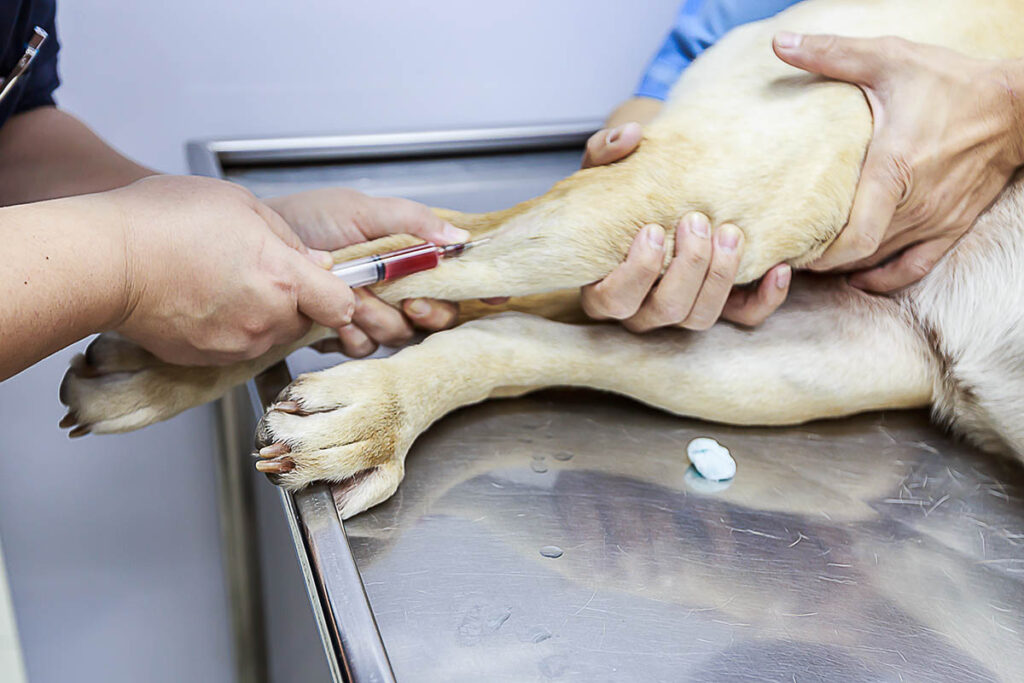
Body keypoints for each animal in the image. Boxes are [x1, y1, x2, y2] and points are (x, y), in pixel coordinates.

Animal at [58, 0, 1024, 518]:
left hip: (807, 360)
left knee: (504, 329)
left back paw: (360, 406)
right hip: (754, 184)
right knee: (421, 257)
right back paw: (165, 351)